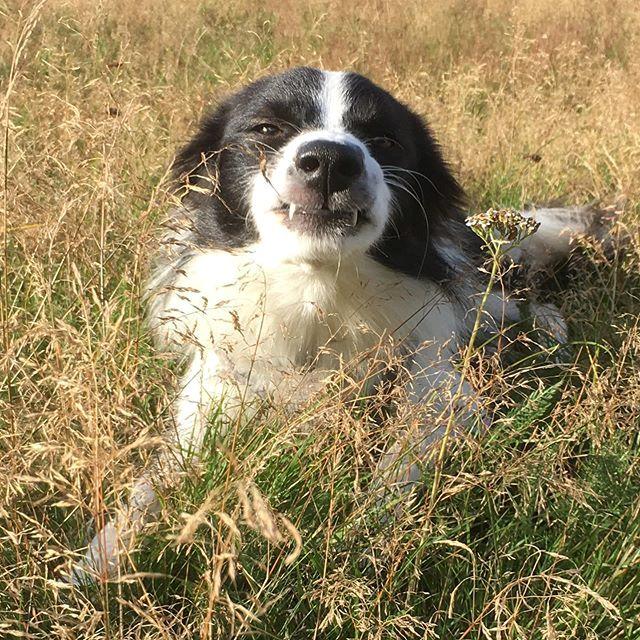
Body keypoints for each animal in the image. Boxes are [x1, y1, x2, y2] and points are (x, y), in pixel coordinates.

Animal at [70, 67, 608, 584]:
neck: (316, 294)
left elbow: (397, 469)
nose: (330, 160)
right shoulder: (210, 400)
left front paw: (365, 535)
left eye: (385, 139)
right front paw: (95, 562)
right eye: (267, 129)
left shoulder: (442, 393)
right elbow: (151, 485)